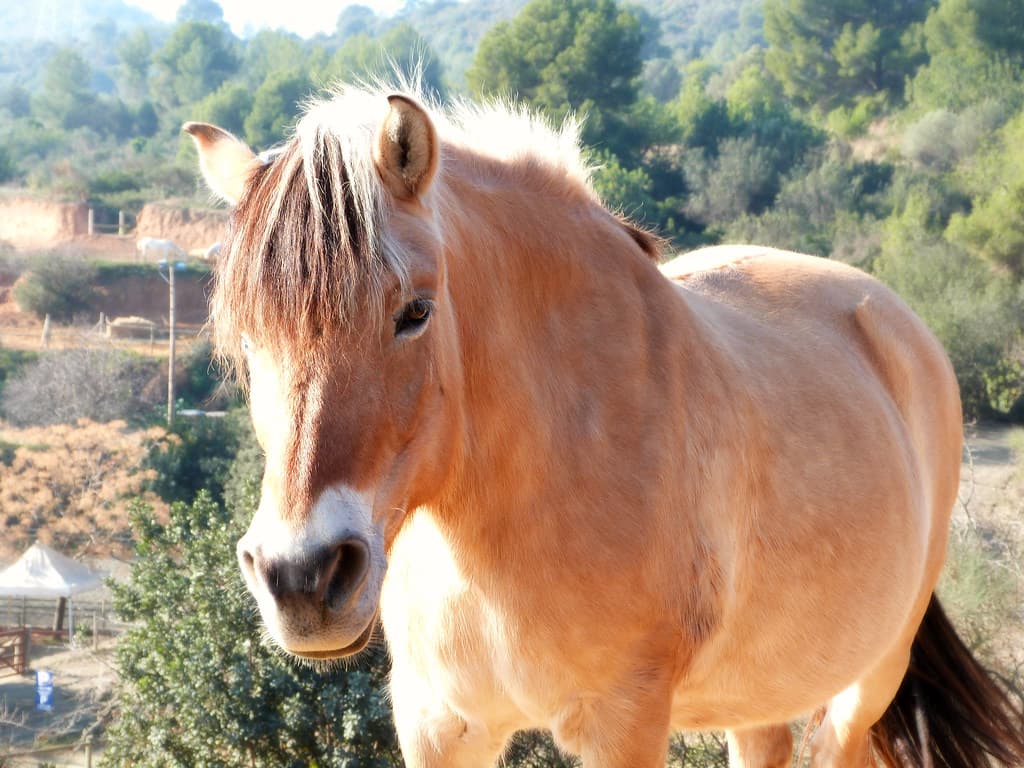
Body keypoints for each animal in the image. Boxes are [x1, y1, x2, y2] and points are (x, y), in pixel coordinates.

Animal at [183, 86, 1024, 767]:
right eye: (244, 336)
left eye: (415, 310)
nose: (301, 576)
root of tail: (895, 323)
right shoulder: (439, 724)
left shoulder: (622, 725)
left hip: (868, 681)